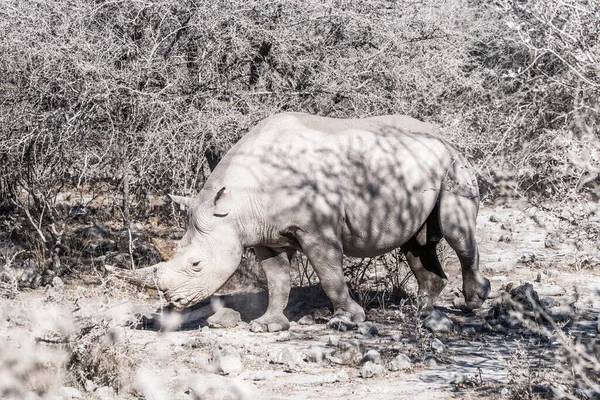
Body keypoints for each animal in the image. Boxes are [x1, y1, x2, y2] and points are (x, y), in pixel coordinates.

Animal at [112, 111, 492, 332]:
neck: (236, 203)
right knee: (415, 244)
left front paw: (346, 320)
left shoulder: (317, 231)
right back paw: (418, 310)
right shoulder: (264, 235)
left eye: (196, 264)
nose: (174, 302)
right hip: (416, 166)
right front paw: (268, 325)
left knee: (457, 236)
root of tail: (448, 138)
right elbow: (277, 279)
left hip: (453, 165)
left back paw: (474, 302)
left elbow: (329, 275)